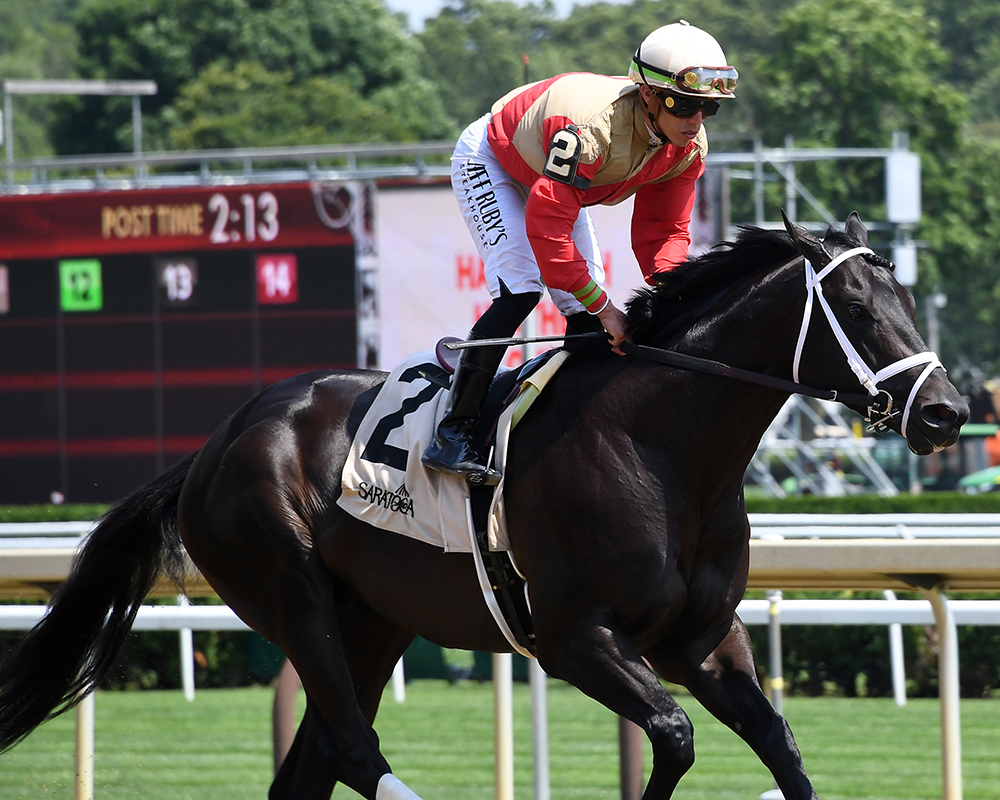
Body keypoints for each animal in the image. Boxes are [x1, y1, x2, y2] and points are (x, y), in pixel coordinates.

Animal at [0, 209, 968, 796]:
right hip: (288, 589)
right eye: (856, 307)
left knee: (314, 760)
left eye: (911, 299)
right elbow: (674, 737)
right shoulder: (576, 637)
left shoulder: (703, 637)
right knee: (351, 747)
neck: (662, 450)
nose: (947, 411)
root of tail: (212, 445)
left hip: (373, 622)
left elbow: (785, 753)